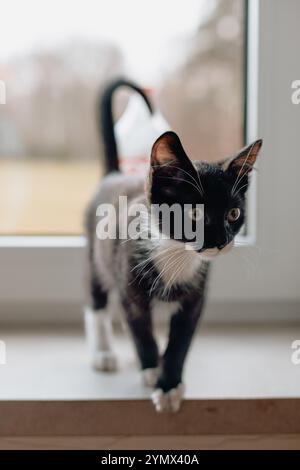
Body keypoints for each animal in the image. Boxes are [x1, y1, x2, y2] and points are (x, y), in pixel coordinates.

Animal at [84, 79, 262, 414]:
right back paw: (103, 352)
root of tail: (114, 174)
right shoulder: (130, 286)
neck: (175, 252)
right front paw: (153, 370)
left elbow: (181, 339)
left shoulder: (196, 295)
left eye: (233, 214)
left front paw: (171, 381)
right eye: (194, 214)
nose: (220, 242)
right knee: (97, 300)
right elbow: (140, 330)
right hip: (95, 254)